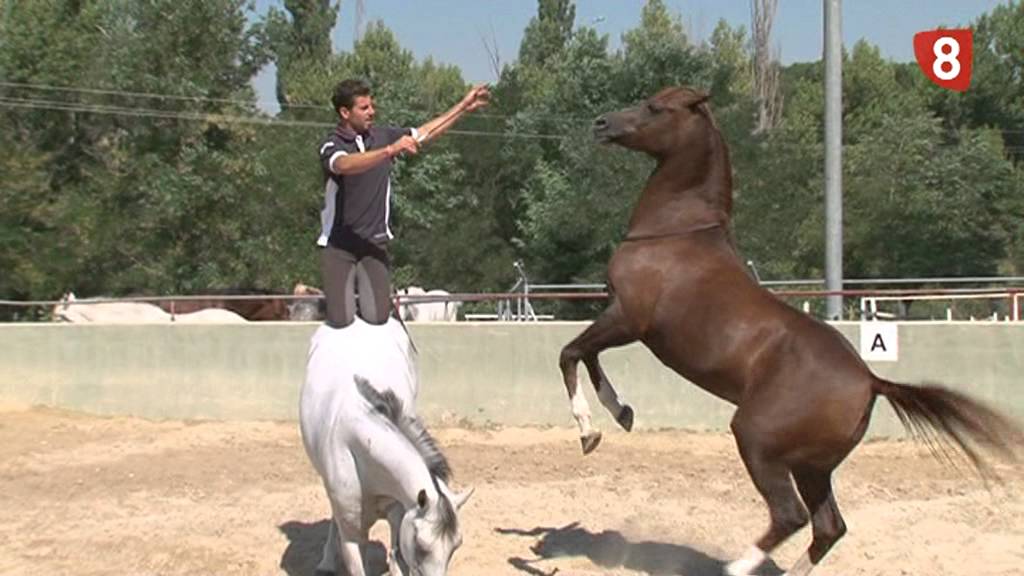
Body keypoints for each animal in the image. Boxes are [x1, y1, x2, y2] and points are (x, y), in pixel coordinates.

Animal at [300, 318, 472, 576]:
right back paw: (326, 562)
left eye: (456, 545)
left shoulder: (399, 516)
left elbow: (396, 561)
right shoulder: (352, 537)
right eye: (421, 545)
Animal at [557, 86, 1023, 576]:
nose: (602, 124)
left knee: (790, 516)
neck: (674, 233)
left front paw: (589, 432)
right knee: (828, 527)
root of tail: (871, 381)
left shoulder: (628, 319)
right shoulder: (621, 319)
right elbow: (588, 358)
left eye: (656, 108)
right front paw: (621, 414)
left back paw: (734, 567)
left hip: (757, 440)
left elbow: (570, 354)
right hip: (812, 467)